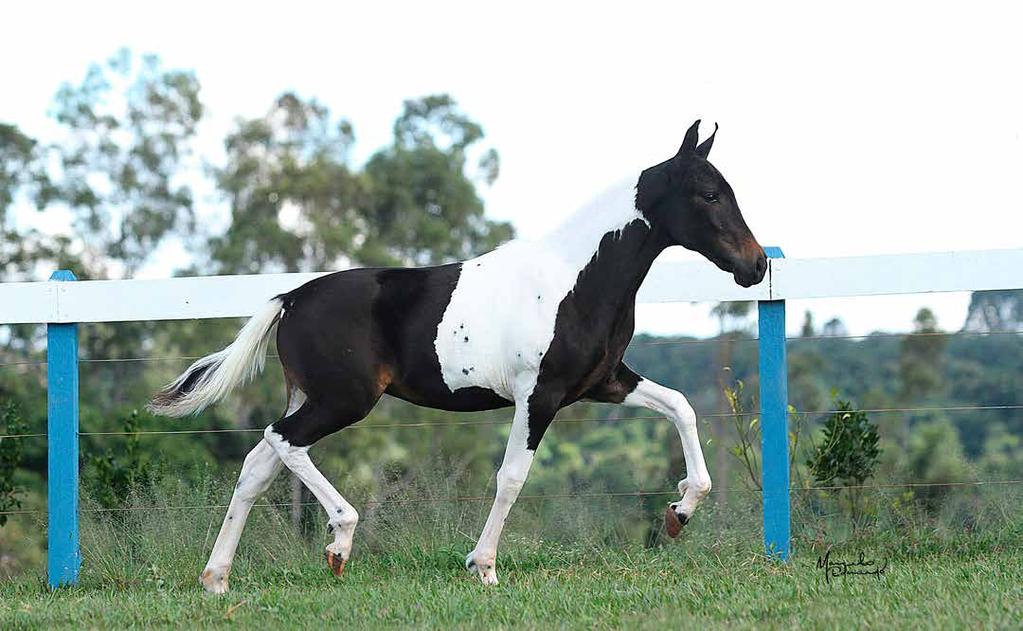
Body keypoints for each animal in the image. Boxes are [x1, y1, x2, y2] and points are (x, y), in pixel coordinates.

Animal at [148, 119, 765, 589]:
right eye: (710, 194)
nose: (756, 266)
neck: (574, 279)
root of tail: (290, 298)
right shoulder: (539, 395)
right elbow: (512, 476)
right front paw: (483, 567)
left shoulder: (605, 382)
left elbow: (682, 406)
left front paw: (681, 511)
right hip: (343, 401)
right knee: (283, 440)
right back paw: (339, 542)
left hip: (311, 397)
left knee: (258, 464)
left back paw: (217, 578)